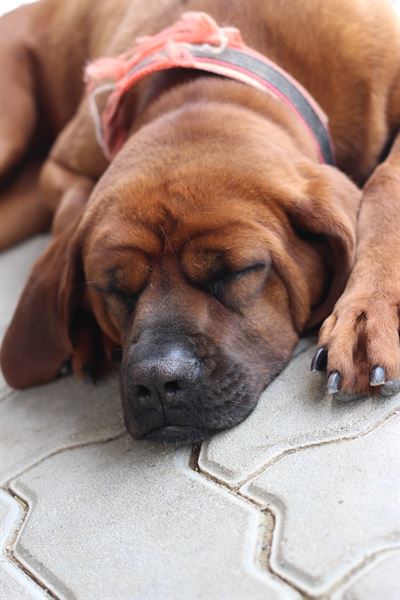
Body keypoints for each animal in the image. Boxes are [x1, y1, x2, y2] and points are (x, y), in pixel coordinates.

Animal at [0, 0, 400, 440]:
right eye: (111, 288)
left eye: (241, 270)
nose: (157, 381)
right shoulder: (59, 166)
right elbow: (71, 212)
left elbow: (385, 182)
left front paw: (370, 311)